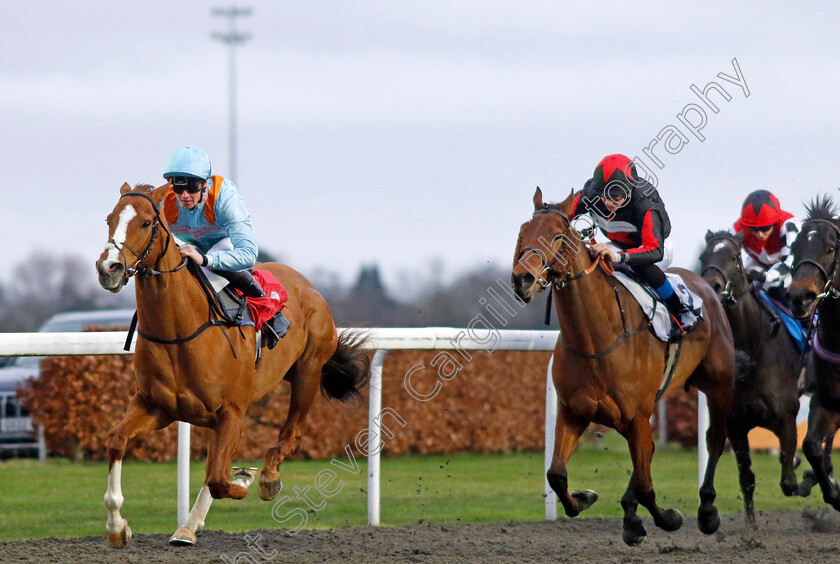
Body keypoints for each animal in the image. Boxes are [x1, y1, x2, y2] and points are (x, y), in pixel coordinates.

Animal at [94, 184, 368, 548]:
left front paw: (245, 477)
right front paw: (116, 527)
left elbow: (220, 480)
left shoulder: (231, 411)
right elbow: (116, 440)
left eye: (147, 222)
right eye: (110, 219)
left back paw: (265, 478)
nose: (108, 268)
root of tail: (306, 284)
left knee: (289, 435)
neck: (180, 332)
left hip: (307, 371)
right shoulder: (156, 406)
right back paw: (187, 527)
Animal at [512, 189, 736, 548]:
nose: (523, 279)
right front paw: (585, 498)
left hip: (719, 384)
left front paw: (668, 518)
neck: (596, 340)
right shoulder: (574, 411)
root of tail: (707, 287)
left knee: (714, 439)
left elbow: (646, 486)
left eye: (558, 236)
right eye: (522, 233)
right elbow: (556, 474)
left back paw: (707, 511)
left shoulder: (636, 415)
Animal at [704, 229, 812, 524]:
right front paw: (751, 530)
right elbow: (747, 479)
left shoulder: (786, 419)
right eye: (704, 256)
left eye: (734, 256)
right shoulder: (736, 425)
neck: (753, 350)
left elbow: (789, 481)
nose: (712, 285)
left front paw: (807, 473)